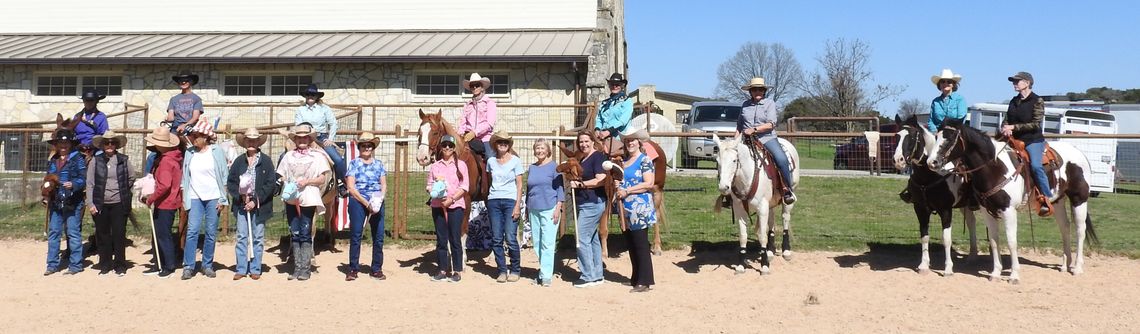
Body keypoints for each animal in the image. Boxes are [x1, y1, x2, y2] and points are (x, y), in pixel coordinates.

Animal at [711, 132, 802, 273]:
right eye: (717, 161)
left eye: (734, 160)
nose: (723, 187)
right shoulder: (740, 209)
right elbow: (743, 236)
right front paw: (741, 265)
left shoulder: (762, 208)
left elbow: (762, 235)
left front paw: (764, 265)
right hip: (770, 203)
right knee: (771, 221)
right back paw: (770, 251)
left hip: (789, 198)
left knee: (785, 218)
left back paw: (786, 251)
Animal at [889, 115, 980, 274]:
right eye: (896, 136)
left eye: (912, 137)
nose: (898, 160)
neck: (930, 176)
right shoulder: (920, 209)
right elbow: (924, 236)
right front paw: (924, 265)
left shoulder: (946, 210)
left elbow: (946, 238)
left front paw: (948, 268)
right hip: (965, 205)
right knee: (971, 222)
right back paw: (972, 256)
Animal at [930, 118, 1098, 282]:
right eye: (936, 136)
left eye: (950, 138)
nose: (932, 162)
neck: (995, 168)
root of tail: (1079, 152)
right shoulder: (986, 211)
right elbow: (994, 241)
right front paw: (995, 273)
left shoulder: (1009, 210)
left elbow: (1011, 242)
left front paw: (1014, 275)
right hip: (1057, 202)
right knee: (1065, 227)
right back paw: (1064, 265)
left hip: (1079, 199)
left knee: (1080, 230)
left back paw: (1077, 267)